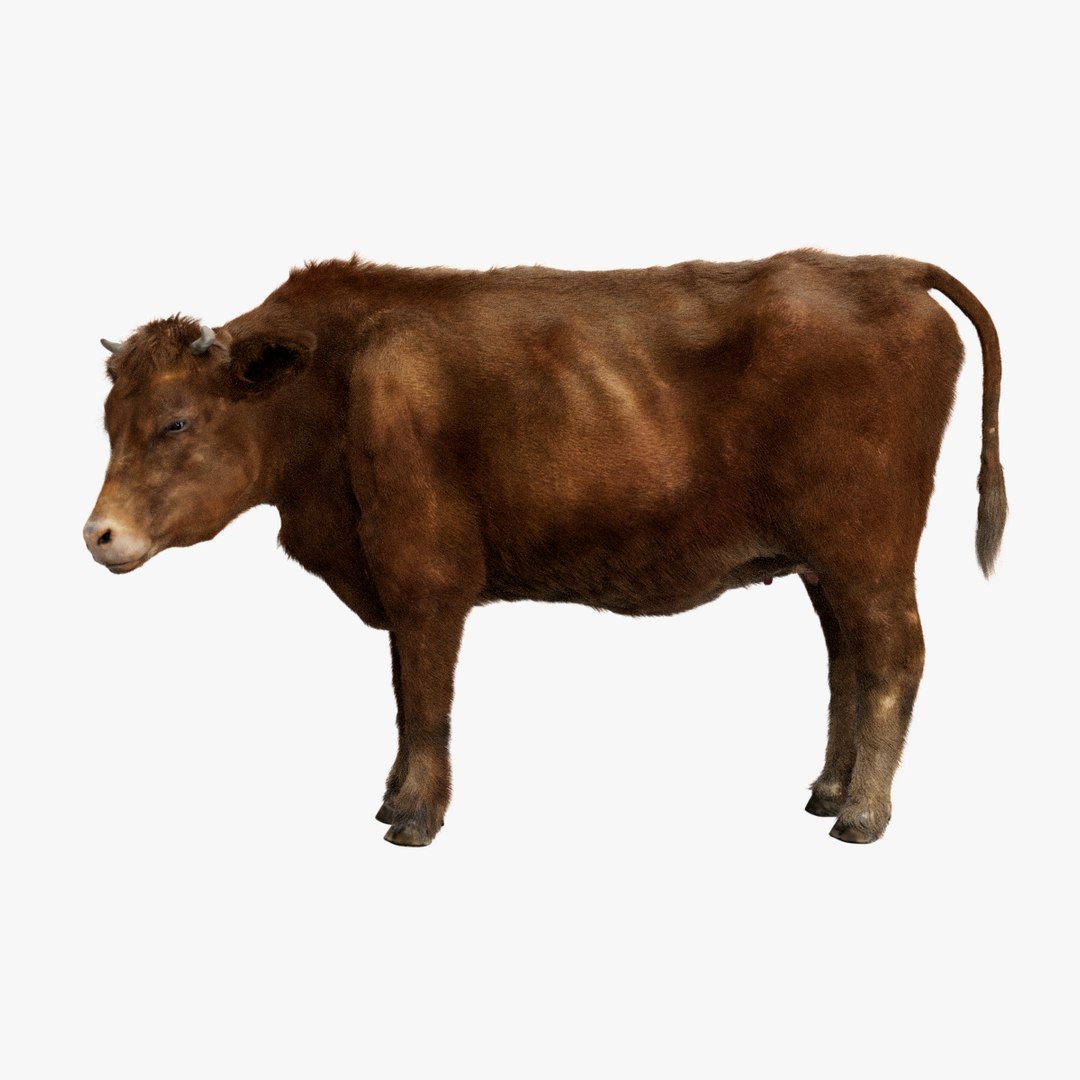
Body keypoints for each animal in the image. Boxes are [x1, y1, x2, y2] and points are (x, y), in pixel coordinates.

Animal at [84, 249, 1006, 847]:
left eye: (177, 421)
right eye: (110, 421)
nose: (99, 534)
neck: (340, 376)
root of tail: (882, 269)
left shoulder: (426, 583)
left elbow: (425, 701)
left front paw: (413, 817)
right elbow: (404, 698)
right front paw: (391, 798)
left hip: (869, 557)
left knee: (893, 658)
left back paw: (862, 816)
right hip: (827, 565)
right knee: (848, 663)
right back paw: (827, 791)